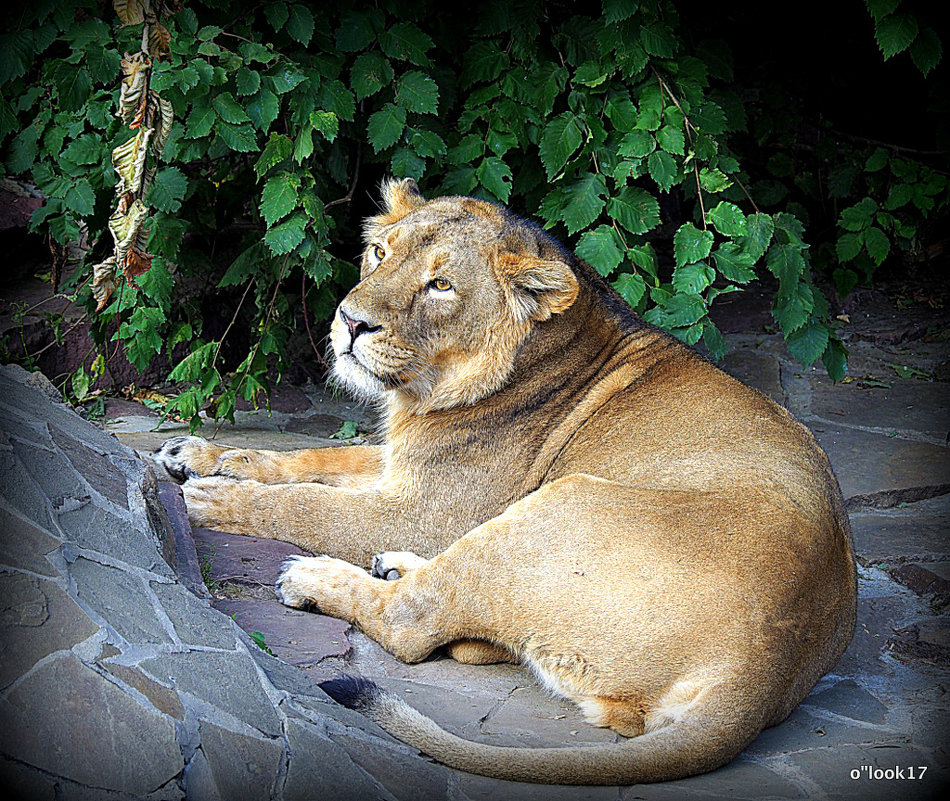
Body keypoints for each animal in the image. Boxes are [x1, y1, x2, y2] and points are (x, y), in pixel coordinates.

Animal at [154, 178, 856, 784]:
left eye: (440, 285)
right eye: (381, 252)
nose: (349, 322)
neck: (425, 393)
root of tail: (761, 676)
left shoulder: (426, 512)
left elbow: (304, 505)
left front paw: (208, 495)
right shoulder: (403, 467)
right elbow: (309, 460)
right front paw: (200, 453)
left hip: (564, 501)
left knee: (414, 622)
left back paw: (312, 578)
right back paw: (391, 564)